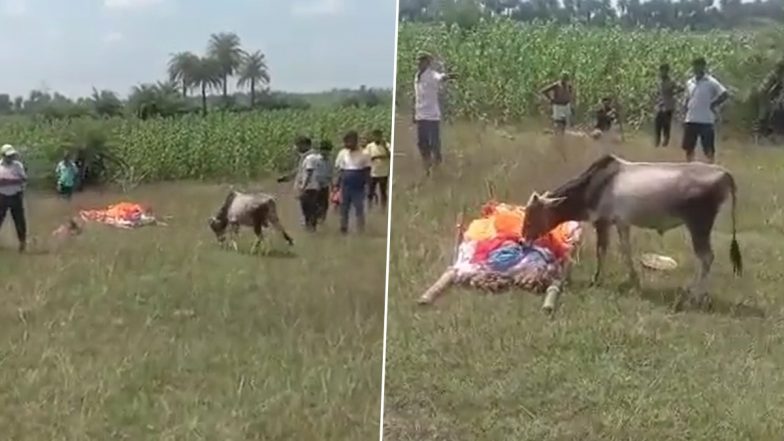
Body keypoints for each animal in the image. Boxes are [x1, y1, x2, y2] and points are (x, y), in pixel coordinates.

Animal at [520, 155, 740, 310]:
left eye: (531, 215)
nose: (524, 239)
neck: (595, 185)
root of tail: (724, 173)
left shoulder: (602, 222)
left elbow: (602, 250)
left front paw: (596, 279)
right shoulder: (621, 223)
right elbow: (626, 251)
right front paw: (634, 281)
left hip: (699, 224)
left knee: (706, 257)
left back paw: (695, 296)